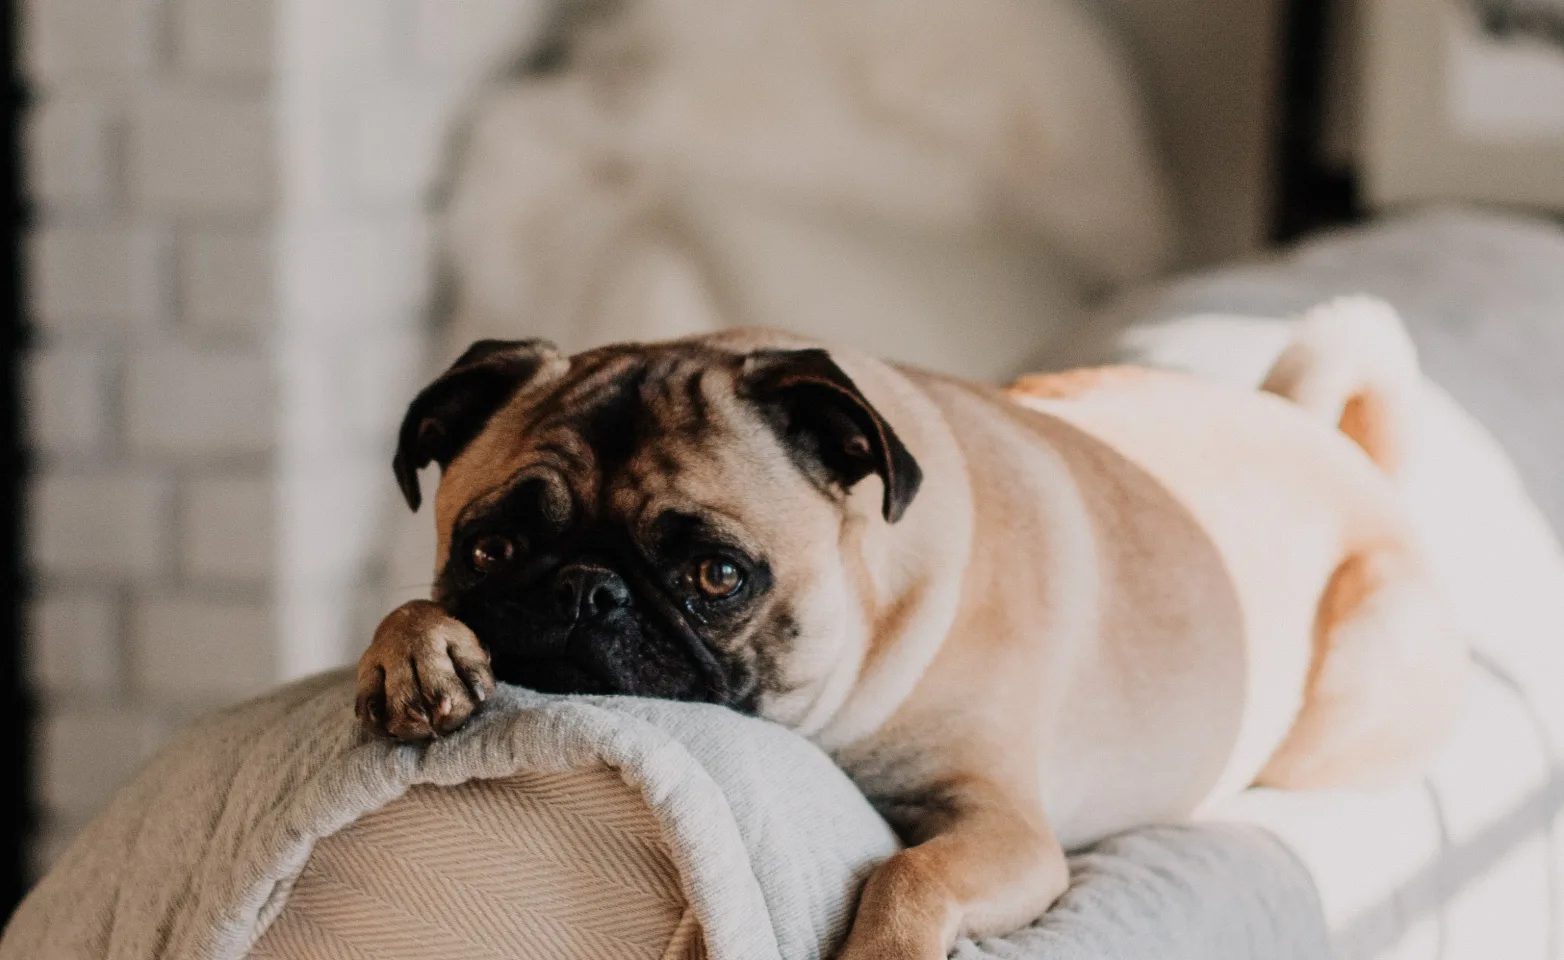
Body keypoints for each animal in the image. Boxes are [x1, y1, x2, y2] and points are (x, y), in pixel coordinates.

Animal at [358, 297, 1463, 956]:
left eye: (718, 576)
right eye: (490, 548)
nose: (589, 592)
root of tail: (1328, 441)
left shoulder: (1006, 830)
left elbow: (905, 873)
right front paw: (413, 650)